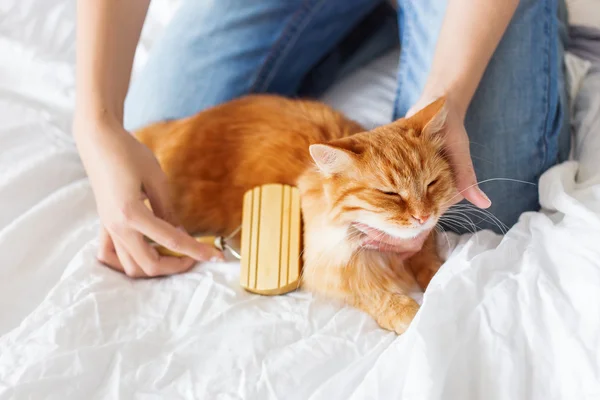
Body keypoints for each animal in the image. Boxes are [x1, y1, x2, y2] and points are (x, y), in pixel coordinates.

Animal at [136, 94, 454, 334]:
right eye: (390, 194)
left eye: (431, 184)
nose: (423, 216)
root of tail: (173, 126)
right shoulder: (328, 271)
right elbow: (376, 295)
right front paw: (411, 314)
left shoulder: (423, 241)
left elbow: (430, 263)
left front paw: (440, 280)